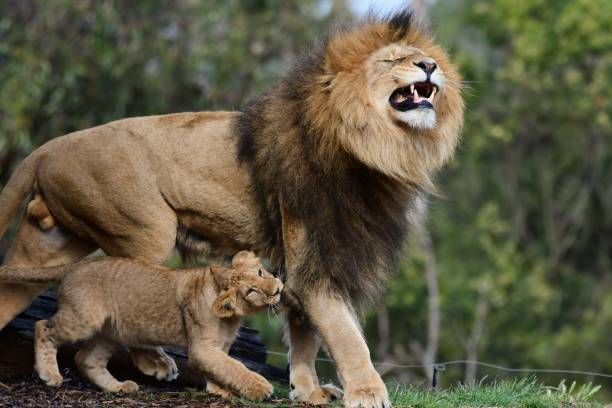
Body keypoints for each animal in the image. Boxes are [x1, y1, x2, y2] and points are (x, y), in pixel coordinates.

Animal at [0, 250, 282, 400]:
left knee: (87, 359)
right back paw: (50, 373)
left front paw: (219, 390)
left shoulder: (218, 347)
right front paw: (260, 388)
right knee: (43, 327)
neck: (233, 317)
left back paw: (118, 387)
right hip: (83, 320)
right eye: (252, 291)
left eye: (260, 272)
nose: (278, 289)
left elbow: (222, 368)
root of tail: (78, 264)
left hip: (111, 332)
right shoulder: (202, 347)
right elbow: (234, 367)